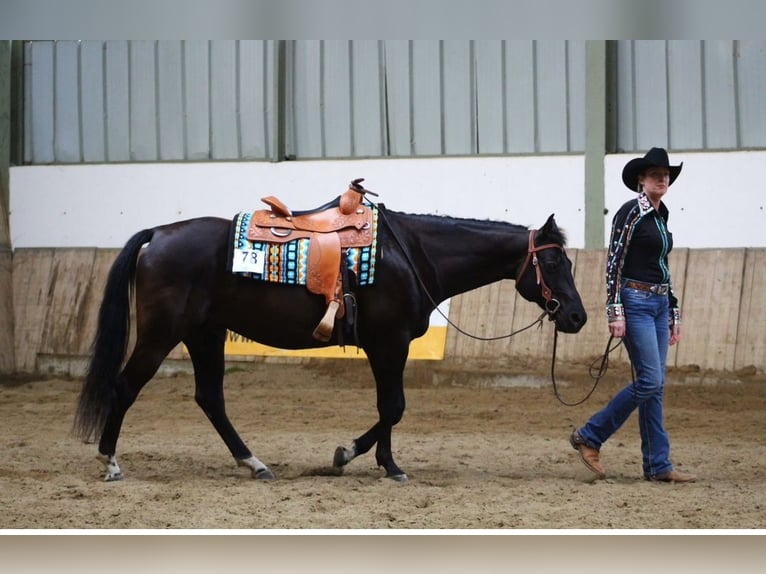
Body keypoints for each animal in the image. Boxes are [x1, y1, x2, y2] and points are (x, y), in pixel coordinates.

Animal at [74, 186, 587, 482]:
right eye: (553, 263)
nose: (578, 317)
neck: (412, 253)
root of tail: (158, 234)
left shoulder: (389, 345)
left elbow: (389, 407)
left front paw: (375, 460)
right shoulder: (389, 342)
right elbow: (393, 406)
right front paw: (362, 458)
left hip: (205, 334)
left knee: (210, 399)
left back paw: (254, 463)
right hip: (162, 333)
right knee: (126, 386)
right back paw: (110, 462)